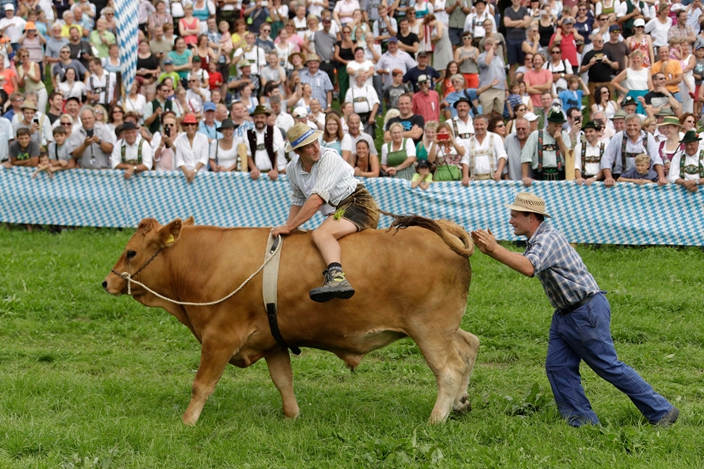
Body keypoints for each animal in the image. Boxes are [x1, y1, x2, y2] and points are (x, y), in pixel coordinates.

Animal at [103, 216, 478, 424]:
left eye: (131, 252)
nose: (107, 282)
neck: (207, 260)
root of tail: (443, 230)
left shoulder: (219, 337)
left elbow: (201, 384)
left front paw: (187, 422)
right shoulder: (271, 339)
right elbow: (283, 381)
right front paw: (293, 417)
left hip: (429, 330)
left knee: (450, 368)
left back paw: (436, 419)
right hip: (446, 327)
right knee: (469, 345)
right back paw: (460, 404)